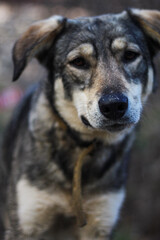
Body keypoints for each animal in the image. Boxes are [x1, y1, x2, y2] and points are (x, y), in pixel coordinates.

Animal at [0, 7, 160, 240]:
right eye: (78, 62)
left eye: (130, 55)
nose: (114, 105)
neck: (82, 146)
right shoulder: (26, 224)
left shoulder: (100, 223)